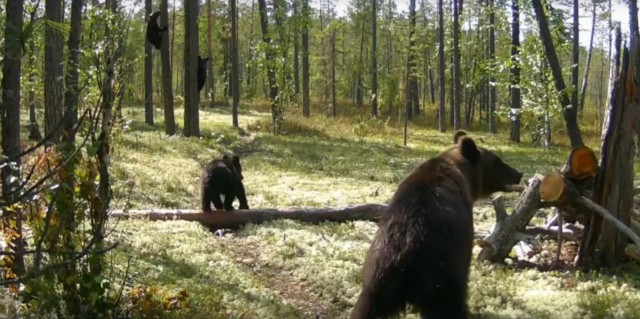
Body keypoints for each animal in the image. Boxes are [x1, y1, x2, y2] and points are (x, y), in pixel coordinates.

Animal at [350, 131, 524, 319]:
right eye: (498, 161)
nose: (519, 173)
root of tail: (406, 246)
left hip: (378, 274)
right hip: (440, 268)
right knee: (449, 303)